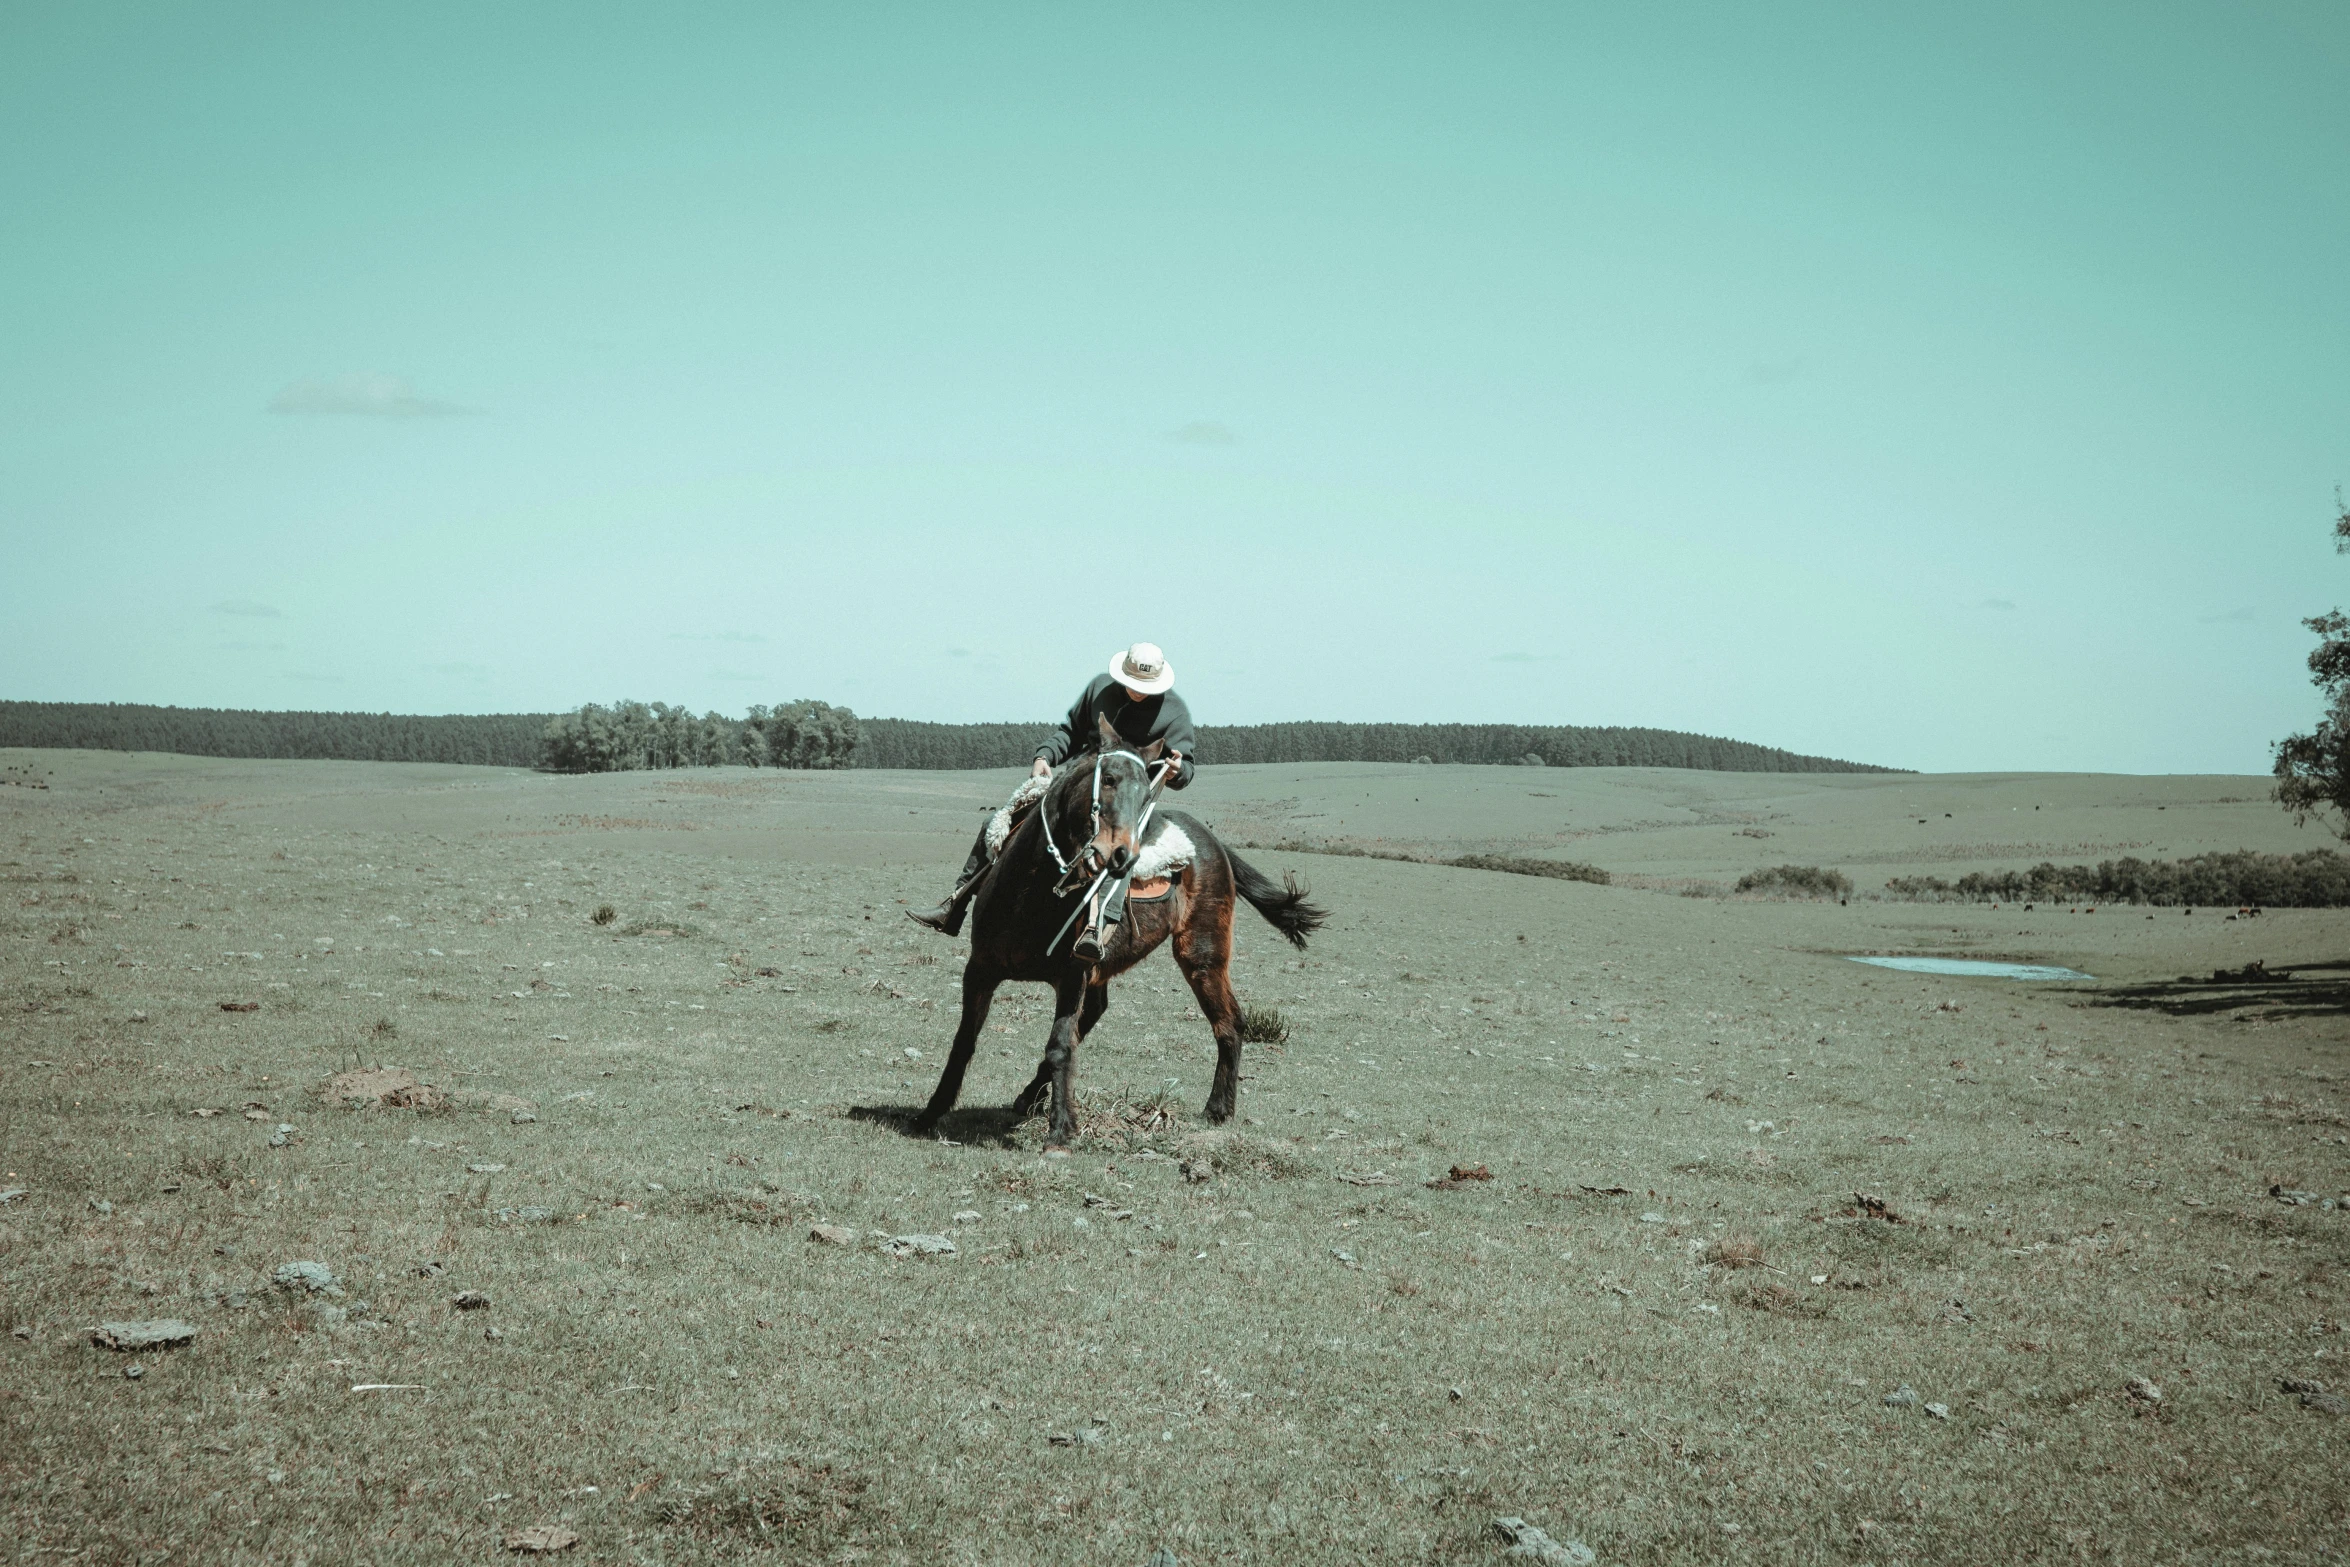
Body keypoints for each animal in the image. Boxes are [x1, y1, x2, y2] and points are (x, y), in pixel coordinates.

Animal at [911, 718, 1325, 1146]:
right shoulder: (980, 970)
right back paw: (1029, 1097)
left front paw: (1060, 1129)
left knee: (1229, 1022)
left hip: (1202, 957)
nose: (1123, 855)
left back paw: (1217, 1108)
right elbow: (965, 1041)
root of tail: (1215, 845)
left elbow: (1060, 1045)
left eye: (1145, 794)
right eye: (1107, 779)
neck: (1031, 892)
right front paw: (930, 1113)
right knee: (1097, 1014)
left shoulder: (1072, 976)